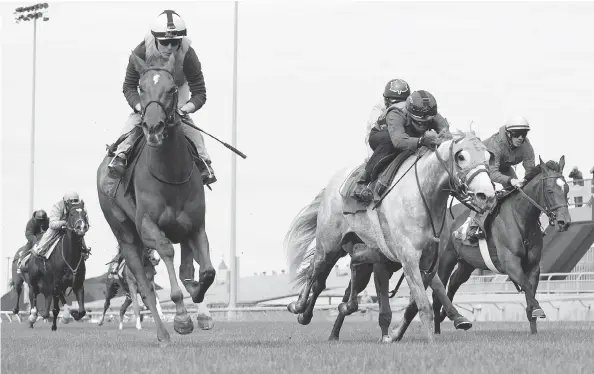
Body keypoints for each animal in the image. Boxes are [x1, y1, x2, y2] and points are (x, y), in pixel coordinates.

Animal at [96, 52, 216, 344]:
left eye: (171, 89)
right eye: (141, 88)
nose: (152, 127)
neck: (170, 174)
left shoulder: (195, 226)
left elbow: (205, 271)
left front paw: (198, 299)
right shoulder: (148, 226)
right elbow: (166, 252)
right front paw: (182, 319)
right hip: (126, 236)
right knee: (142, 284)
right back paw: (162, 333)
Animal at [430, 156, 568, 334]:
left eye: (567, 189)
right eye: (550, 191)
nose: (564, 222)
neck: (521, 219)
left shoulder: (533, 266)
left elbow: (530, 293)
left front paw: (534, 330)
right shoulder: (510, 264)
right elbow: (526, 285)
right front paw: (538, 309)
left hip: (466, 263)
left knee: (453, 283)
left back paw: (448, 317)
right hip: (446, 259)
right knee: (437, 291)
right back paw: (437, 330)